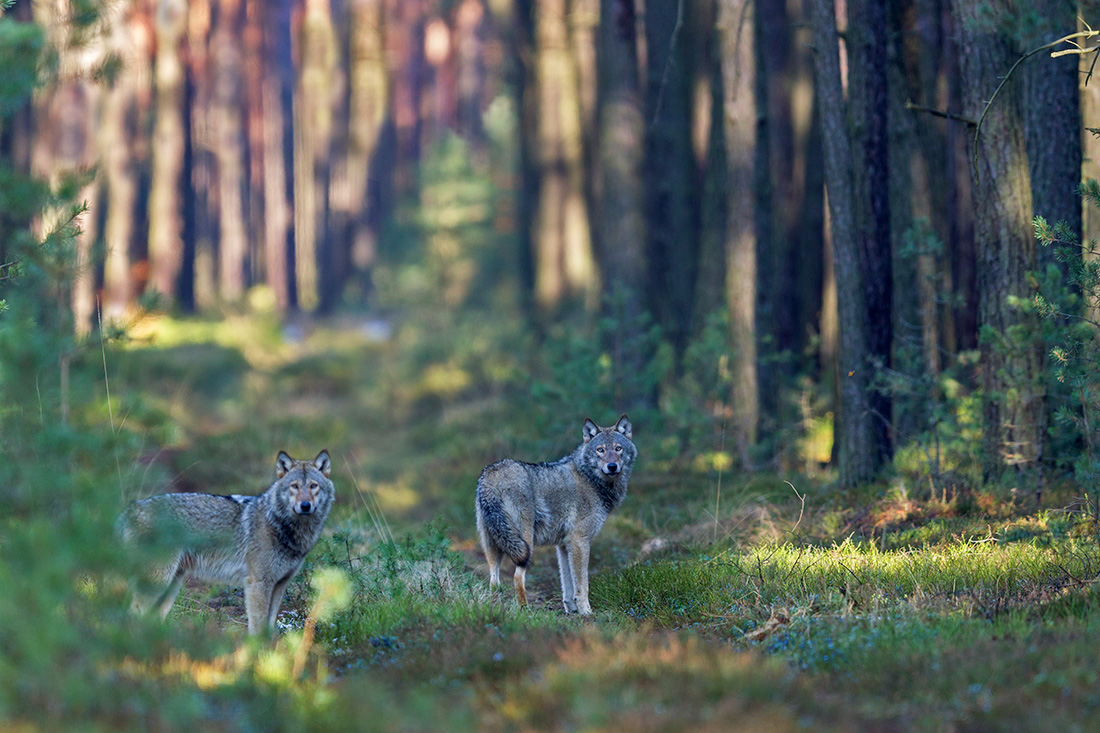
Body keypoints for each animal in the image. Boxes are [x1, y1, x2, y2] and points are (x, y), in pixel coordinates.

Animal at [116, 449, 332, 629]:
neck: (281, 525)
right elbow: (258, 629)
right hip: (158, 583)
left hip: (170, 587)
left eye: (313, 486)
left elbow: (269, 630)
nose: (305, 506)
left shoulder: (279, 585)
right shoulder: (258, 584)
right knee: (132, 615)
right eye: (294, 486)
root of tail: (130, 509)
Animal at [473, 413, 638, 611]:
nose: (612, 466)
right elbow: (582, 585)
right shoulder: (580, 541)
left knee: (494, 581)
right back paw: (525, 611)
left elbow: (567, 586)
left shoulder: (563, 545)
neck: (590, 479)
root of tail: (492, 476)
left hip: (493, 546)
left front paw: (572, 610)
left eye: (618, 448)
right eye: (600, 450)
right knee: (517, 577)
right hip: (525, 545)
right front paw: (586, 611)